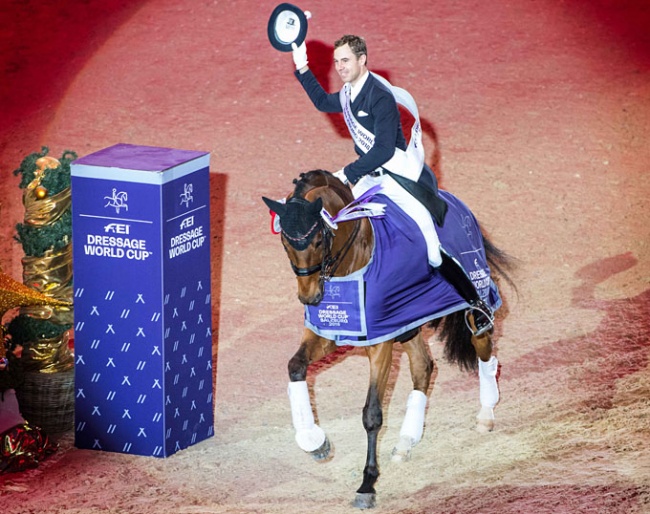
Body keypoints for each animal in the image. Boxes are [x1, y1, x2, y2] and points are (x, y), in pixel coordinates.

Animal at [262, 169, 512, 508]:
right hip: (408, 324)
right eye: (285, 243)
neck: (352, 262)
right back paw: (406, 441)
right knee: (423, 367)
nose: (310, 298)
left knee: (484, 350)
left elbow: (372, 414)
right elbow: (296, 367)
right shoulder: (330, 333)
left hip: (473, 304)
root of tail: (455, 202)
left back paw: (485, 415)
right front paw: (315, 442)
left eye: (317, 240)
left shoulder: (380, 342)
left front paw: (367, 483)